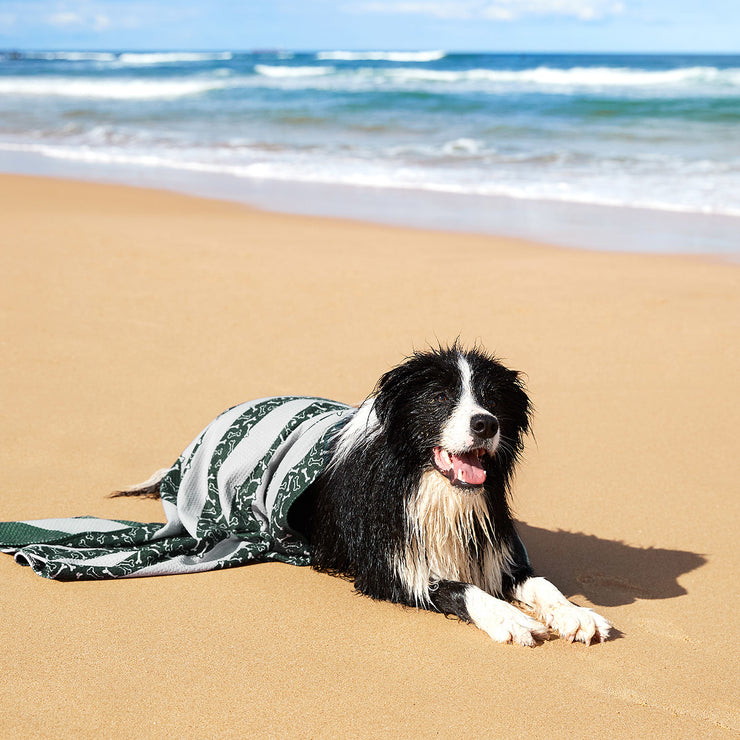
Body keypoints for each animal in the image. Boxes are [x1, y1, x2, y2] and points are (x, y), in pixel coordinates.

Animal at [124, 344, 608, 644]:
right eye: (439, 397)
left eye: (493, 399)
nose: (485, 424)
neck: (426, 485)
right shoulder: (386, 568)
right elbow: (460, 588)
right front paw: (509, 617)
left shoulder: (495, 548)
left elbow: (540, 582)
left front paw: (576, 613)